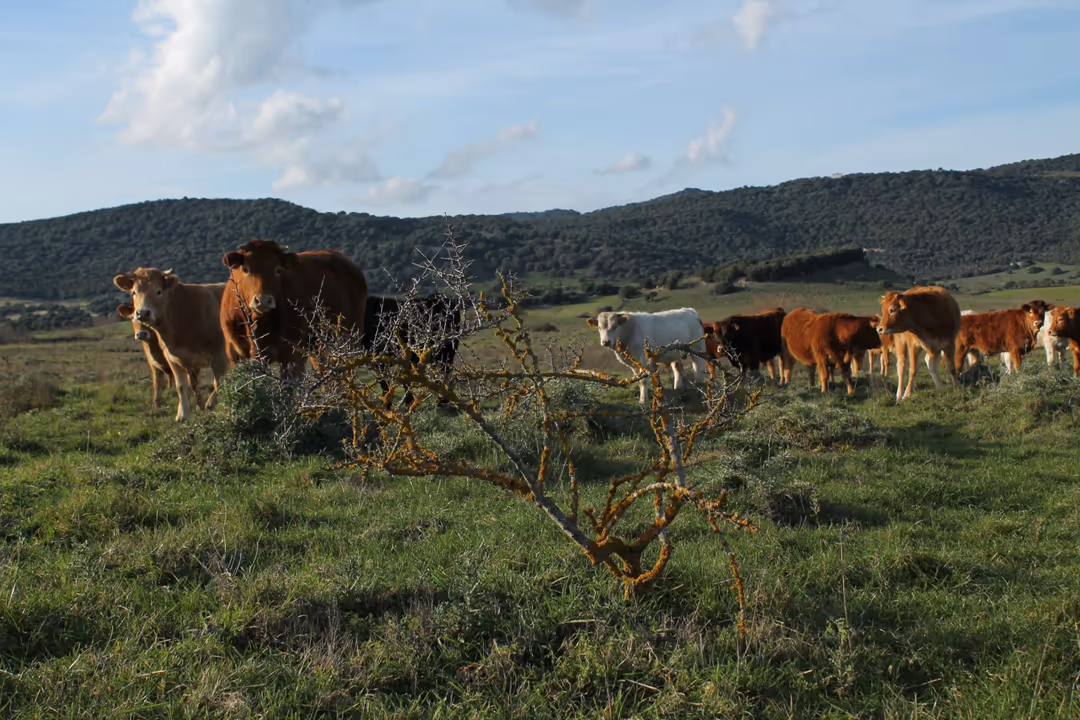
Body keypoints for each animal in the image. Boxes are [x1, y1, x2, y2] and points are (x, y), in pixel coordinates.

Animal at [113, 269, 228, 422]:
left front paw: (208, 404)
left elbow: (219, 381)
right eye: (134, 292)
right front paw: (182, 414)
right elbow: (181, 386)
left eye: (159, 291)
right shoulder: (173, 358)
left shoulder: (219, 354)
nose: (142, 312)